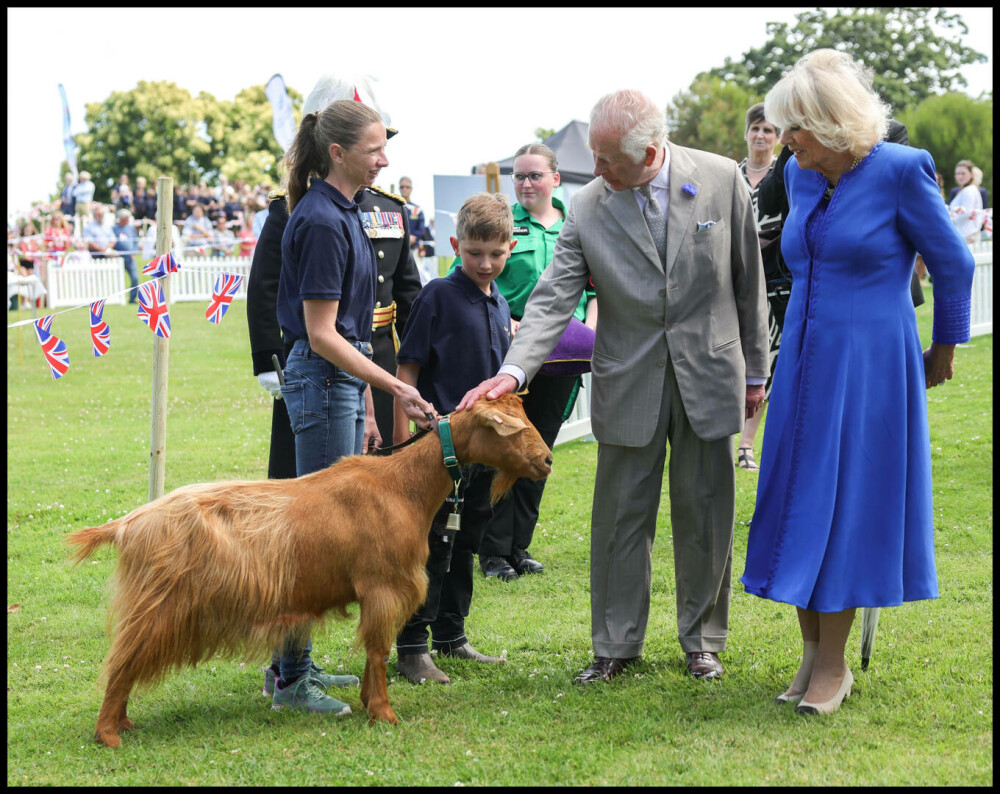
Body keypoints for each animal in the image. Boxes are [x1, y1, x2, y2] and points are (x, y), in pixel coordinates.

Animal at [68, 392, 556, 744]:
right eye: (510, 430)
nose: (548, 459)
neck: (401, 487)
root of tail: (127, 524)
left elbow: (372, 653)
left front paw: (369, 703)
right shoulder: (383, 588)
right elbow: (378, 652)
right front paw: (384, 713)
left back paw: (123, 724)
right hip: (159, 607)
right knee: (122, 662)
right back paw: (109, 734)